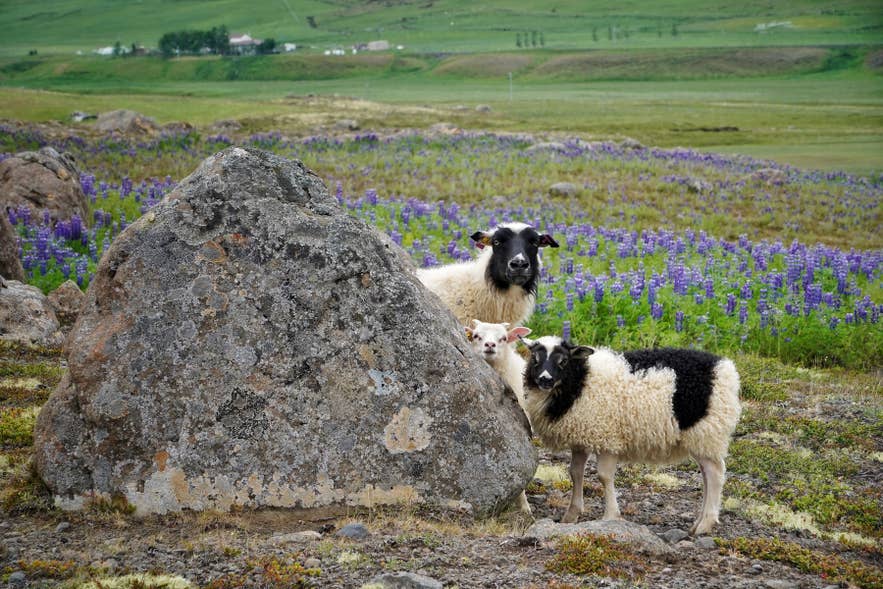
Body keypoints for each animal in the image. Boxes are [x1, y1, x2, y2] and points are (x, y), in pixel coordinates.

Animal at [522, 336, 741, 535]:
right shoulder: (582, 436)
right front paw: (571, 515)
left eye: (563, 361)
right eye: (535, 359)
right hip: (703, 437)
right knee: (706, 475)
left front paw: (610, 516)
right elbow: (575, 473)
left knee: (714, 474)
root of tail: (726, 369)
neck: (580, 380)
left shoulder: (607, 437)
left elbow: (604, 476)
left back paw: (705, 524)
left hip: (706, 431)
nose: (545, 379)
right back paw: (698, 522)